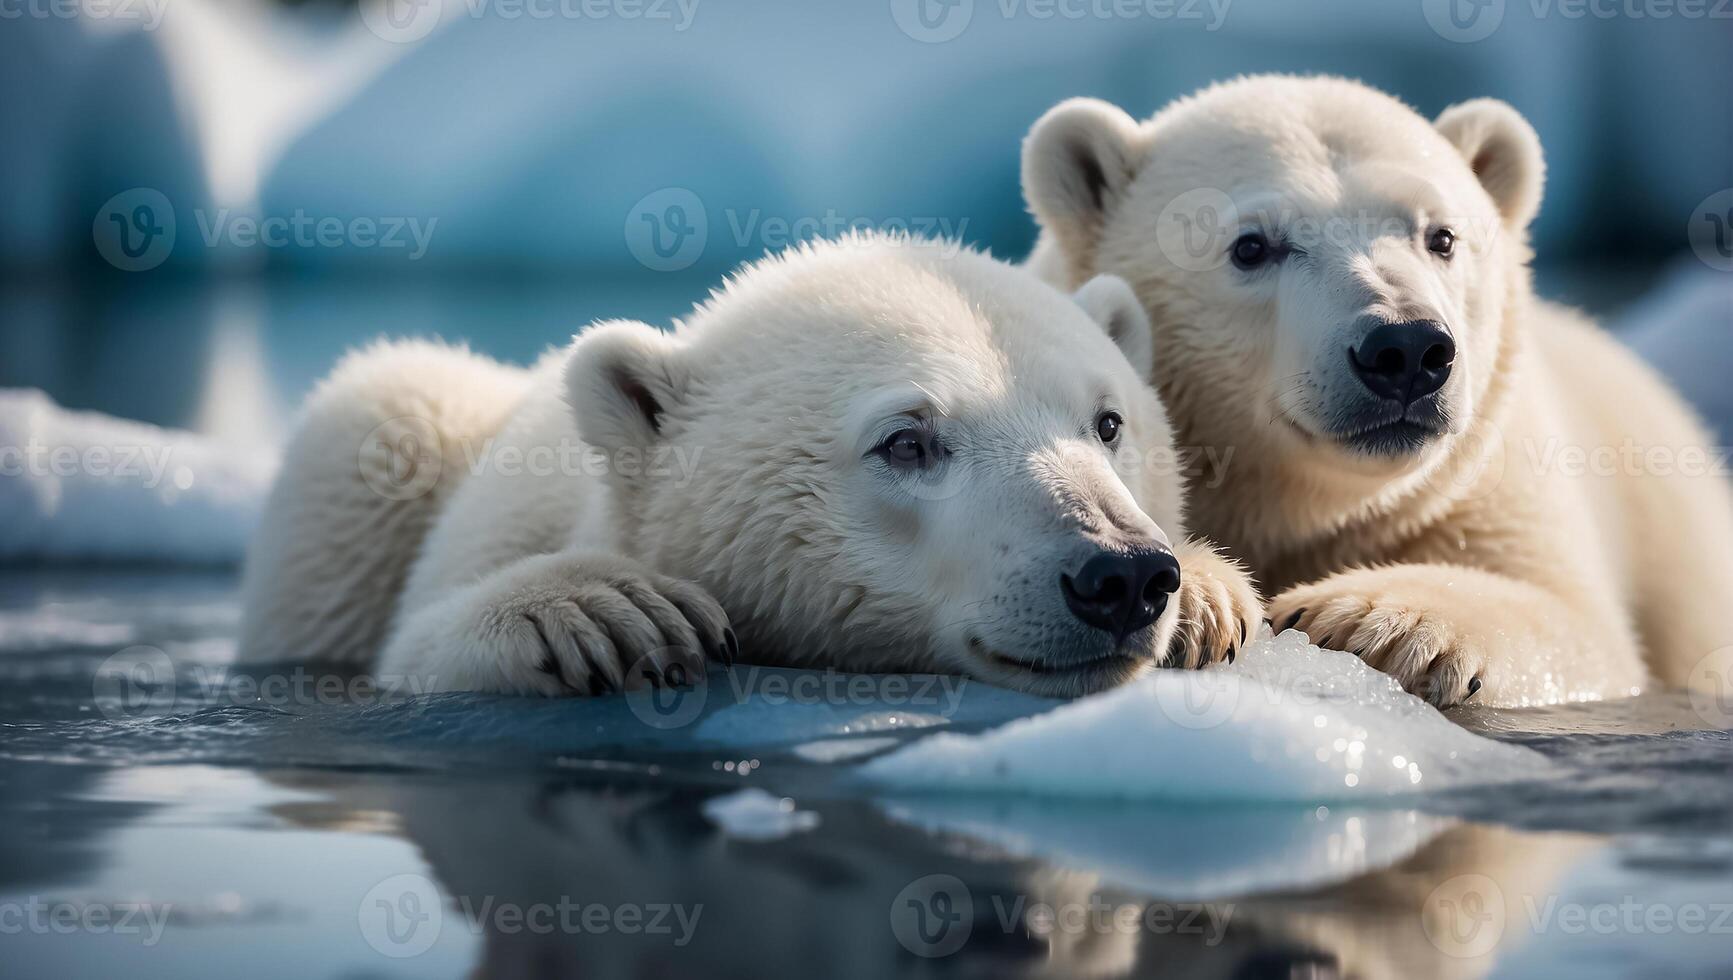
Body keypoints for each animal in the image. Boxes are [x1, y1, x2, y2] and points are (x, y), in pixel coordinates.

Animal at [237, 234, 1261, 693]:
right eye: (907, 440)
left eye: (1107, 422)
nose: (1120, 575)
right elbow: (414, 659)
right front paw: (604, 611)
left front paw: (1210, 599)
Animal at [1019, 74, 1733, 704]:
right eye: (1251, 246)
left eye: (1441, 236)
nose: (1407, 349)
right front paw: (1202, 603)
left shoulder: (1492, 485)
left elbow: (1577, 624)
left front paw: (1370, 619)